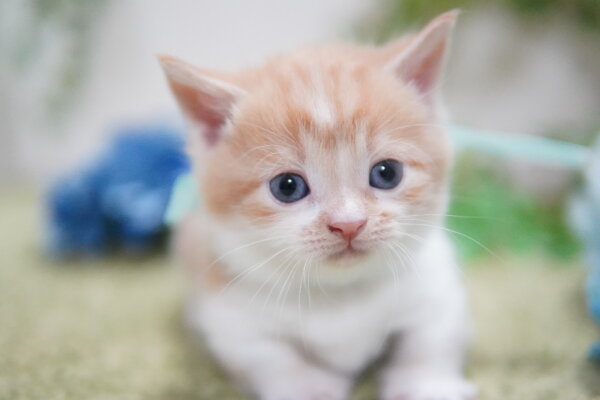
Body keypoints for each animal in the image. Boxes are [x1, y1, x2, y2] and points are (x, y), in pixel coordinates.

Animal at [160, 10, 475, 400]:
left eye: (387, 173)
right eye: (287, 187)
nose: (348, 223)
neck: (341, 295)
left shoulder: (434, 284)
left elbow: (432, 339)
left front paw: (426, 385)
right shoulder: (231, 313)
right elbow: (270, 359)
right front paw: (310, 388)